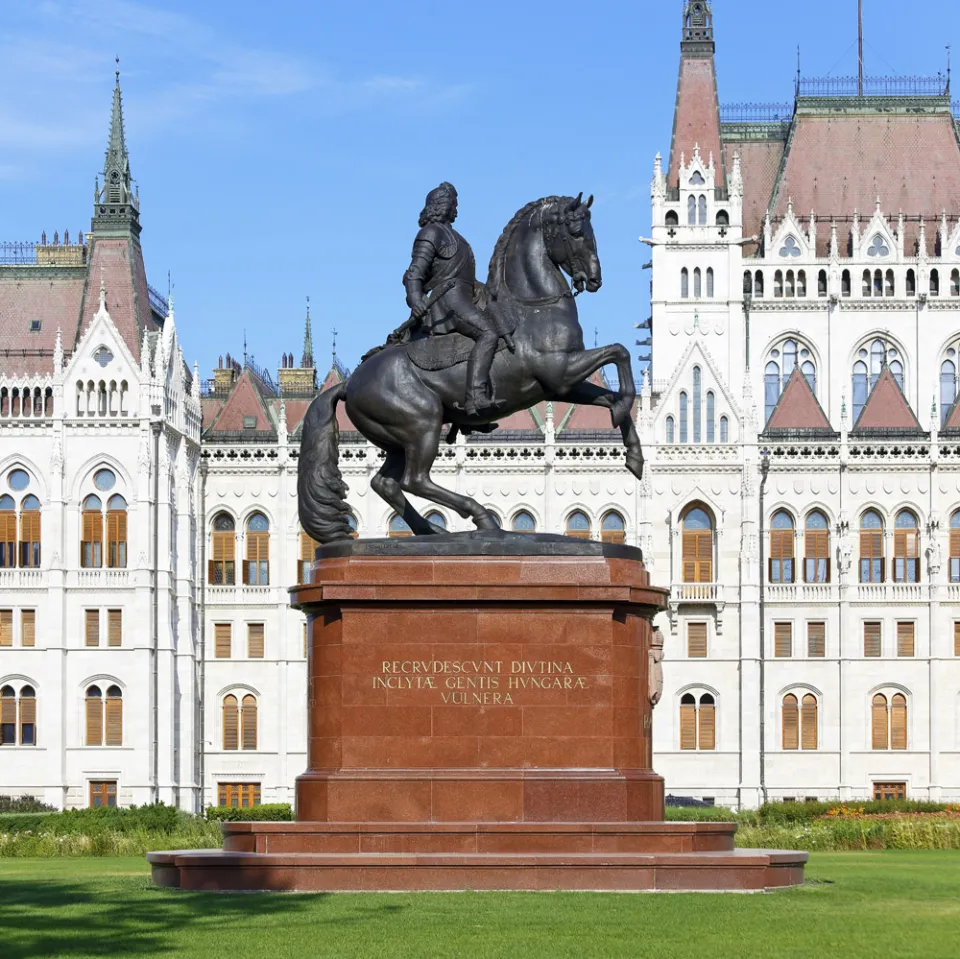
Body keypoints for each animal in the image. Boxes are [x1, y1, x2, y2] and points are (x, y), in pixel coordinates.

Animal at [300, 197, 644, 540]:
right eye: (575, 231)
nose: (595, 279)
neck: (532, 308)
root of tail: (348, 384)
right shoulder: (560, 371)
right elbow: (620, 353)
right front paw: (626, 408)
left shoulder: (562, 384)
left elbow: (611, 389)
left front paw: (634, 453)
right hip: (422, 424)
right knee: (415, 480)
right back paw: (479, 517)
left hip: (396, 439)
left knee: (386, 484)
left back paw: (432, 529)